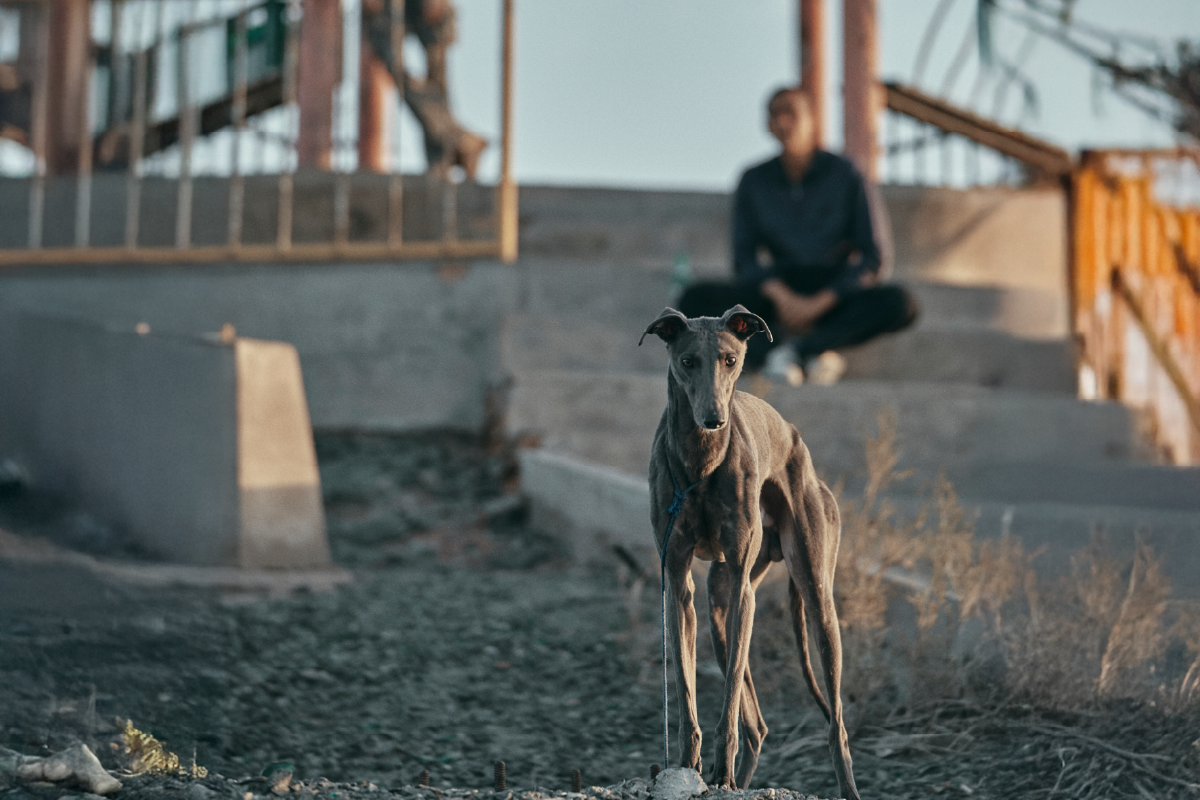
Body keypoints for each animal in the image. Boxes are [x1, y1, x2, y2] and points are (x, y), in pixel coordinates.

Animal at [643, 303, 859, 796]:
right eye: (687, 361)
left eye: (731, 360)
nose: (714, 419)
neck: (702, 459)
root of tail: (797, 442)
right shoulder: (677, 584)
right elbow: (686, 693)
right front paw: (689, 767)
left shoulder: (744, 588)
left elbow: (726, 710)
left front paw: (717, 770)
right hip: (720, 600)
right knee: (756, 723)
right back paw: (736, 781)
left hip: (813, 596)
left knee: (835, 722)